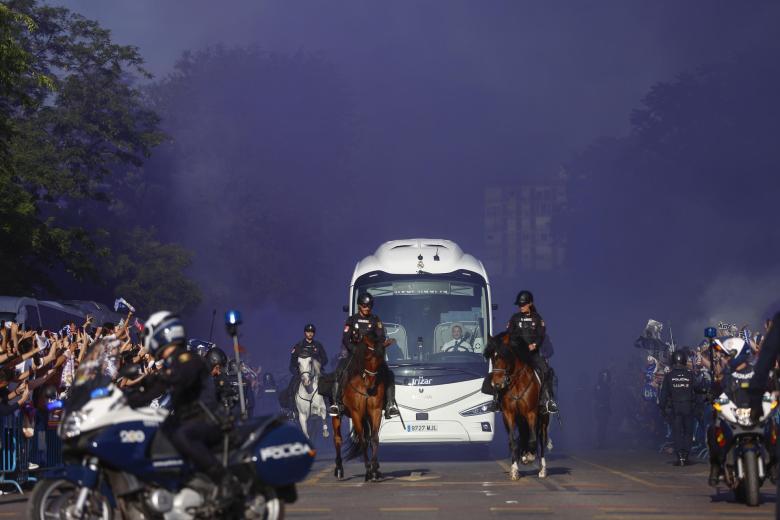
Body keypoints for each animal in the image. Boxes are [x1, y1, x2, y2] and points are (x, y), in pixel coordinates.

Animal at [332, 336, 386, 482]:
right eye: (367, 358)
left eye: (381, 360)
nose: (371, 385)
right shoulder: (356, 413)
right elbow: (362, 440)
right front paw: (368, 470)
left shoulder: (375, 411)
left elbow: (374, 438)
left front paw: (374, 470)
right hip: (337, 416)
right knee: (337, 439)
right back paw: (339, 469)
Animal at [488, 334, 548, 480]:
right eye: (492, 357)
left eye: (505, 356)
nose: (496, 384)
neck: (517, 383)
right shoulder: (509, 415)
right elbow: (513, 442)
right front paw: (514, 470)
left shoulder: (531, 413)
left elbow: (533, 439)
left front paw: (529, 457)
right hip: (521, 420)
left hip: (543, 419)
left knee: (541, 439)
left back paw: (542, 469)